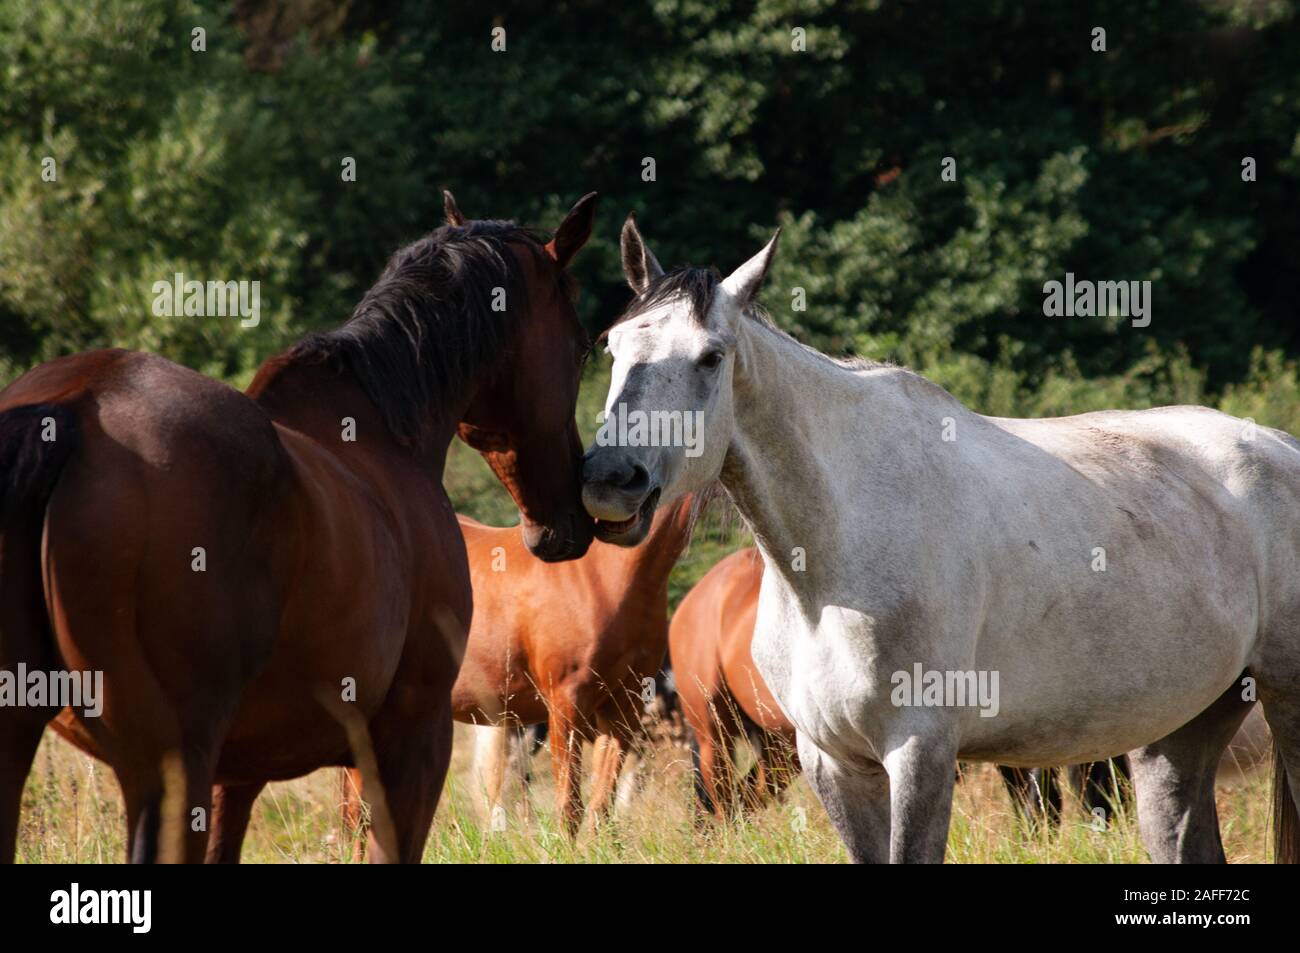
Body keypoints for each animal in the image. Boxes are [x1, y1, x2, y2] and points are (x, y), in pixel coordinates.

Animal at [0, 190, 597, 863]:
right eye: (582, 347)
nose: (567, 522)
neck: (382, 432)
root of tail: (73, 409)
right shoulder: (412, 741)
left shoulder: (239, 775)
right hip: (170, 769)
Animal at [580, 213, 1300, 863]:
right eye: (614, 348)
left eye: (711, 356)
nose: (610, 480)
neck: (836, 553)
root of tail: (1280, 445)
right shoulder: (832, 759)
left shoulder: (920, 752)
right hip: (1176, 732)